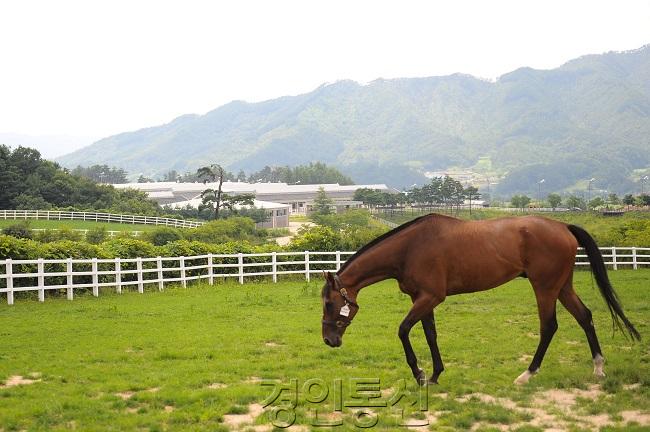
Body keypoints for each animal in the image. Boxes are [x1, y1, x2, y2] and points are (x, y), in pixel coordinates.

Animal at [318, 213, 636, 384]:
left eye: (330, 303)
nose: (329, 341)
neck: (410, 248)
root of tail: (562, 225)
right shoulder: (422, 299)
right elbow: (430, 334)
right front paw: (435, 375)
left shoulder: (430, 297)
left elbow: (404, 330)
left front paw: (419, 373)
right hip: (562, 286)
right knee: (585, 316)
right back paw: (598, 367)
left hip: (545, 287)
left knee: (549, 326)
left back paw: (527, 374)